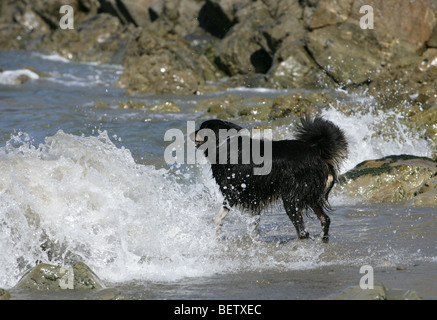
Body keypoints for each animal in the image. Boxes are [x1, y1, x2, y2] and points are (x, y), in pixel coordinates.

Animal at [192, 117, 348, 242]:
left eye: (201, 128)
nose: (190, 133)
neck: (225, 143)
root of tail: (318, 153)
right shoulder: (252, 195)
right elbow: (253, 224)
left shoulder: (232, 192)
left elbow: (218, 219)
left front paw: (216, 236)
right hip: (310, 195)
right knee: (325, 219)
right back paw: (322, 240)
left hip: (291, 198)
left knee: (303, 231)